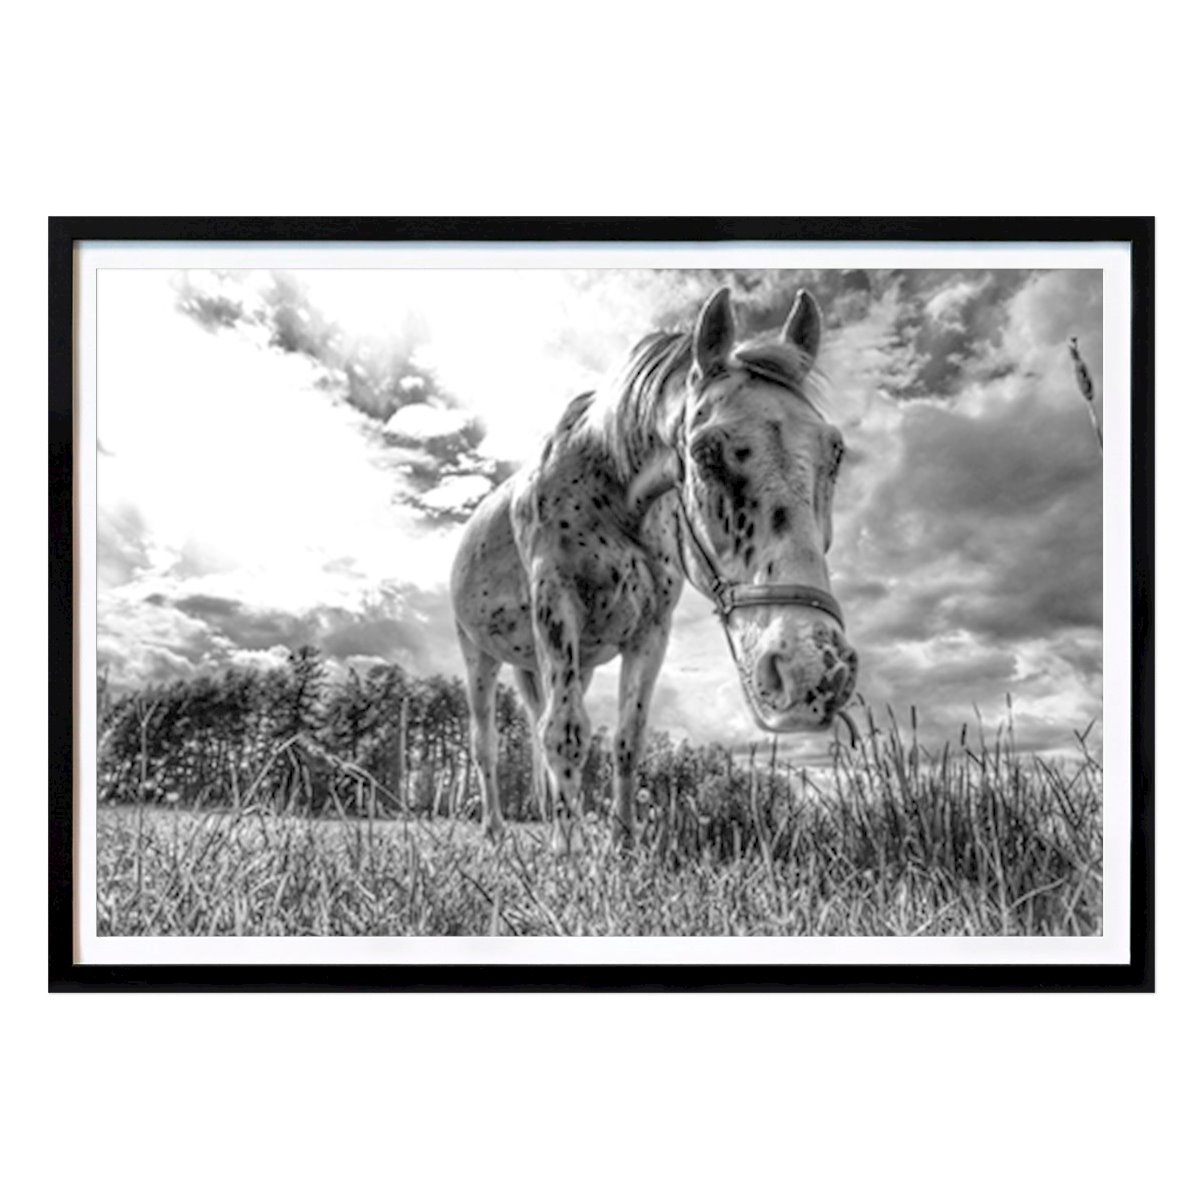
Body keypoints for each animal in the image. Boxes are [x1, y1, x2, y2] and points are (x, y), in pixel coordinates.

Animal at [451, 286, 857, 848]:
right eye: (705, 451)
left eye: (835, 451)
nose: (814, 671)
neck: (611, 490)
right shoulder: (558, 607)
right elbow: (566, 734)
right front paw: (572, 853)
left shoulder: (650, 632)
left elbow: (626, 739)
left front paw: (620, 842)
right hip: (480, 657)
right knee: (488, 744)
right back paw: (495, 829)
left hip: (551, 665)